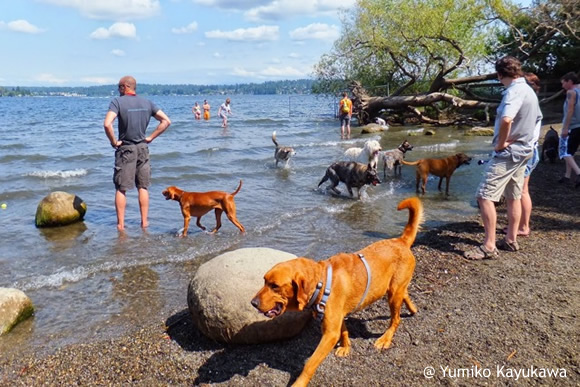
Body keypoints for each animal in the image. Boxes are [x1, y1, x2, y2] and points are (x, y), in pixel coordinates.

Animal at [249, 199, 422, 386]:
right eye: (264, 281)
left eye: (275, 286)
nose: (253, 303)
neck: (322, 283)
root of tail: (401, 241)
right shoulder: (338, 317)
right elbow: (344, 330)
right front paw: (346, 346)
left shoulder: (329, 333)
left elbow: (310, 363)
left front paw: (299, 383)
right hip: (395, 289)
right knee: (405, 294)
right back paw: (412, 308)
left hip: (393, 294)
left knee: (396, 319)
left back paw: (386, 338)